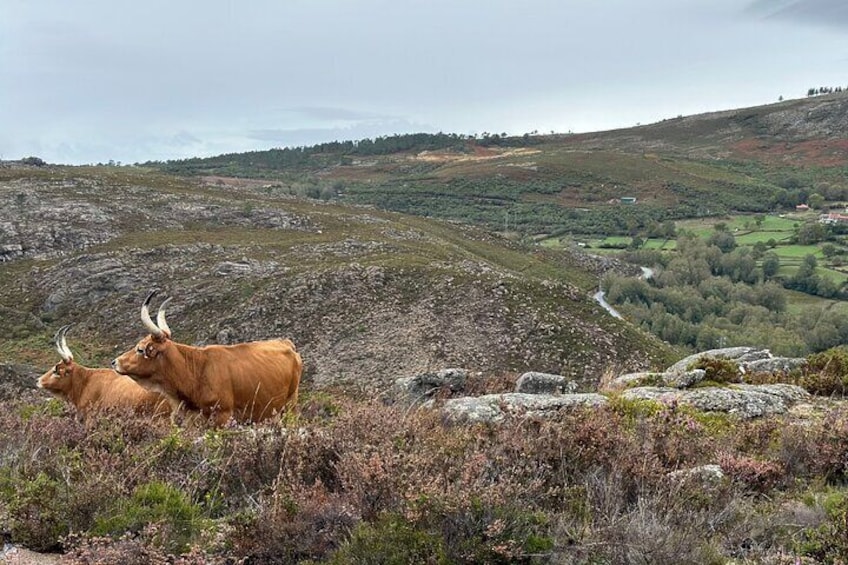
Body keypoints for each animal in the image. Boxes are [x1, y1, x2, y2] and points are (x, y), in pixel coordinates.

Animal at [111, 290, 300, 424]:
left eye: (140, 349)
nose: (115, 362)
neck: (197, 371)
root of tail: (286, 343)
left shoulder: (223, 416)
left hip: (290, 404)